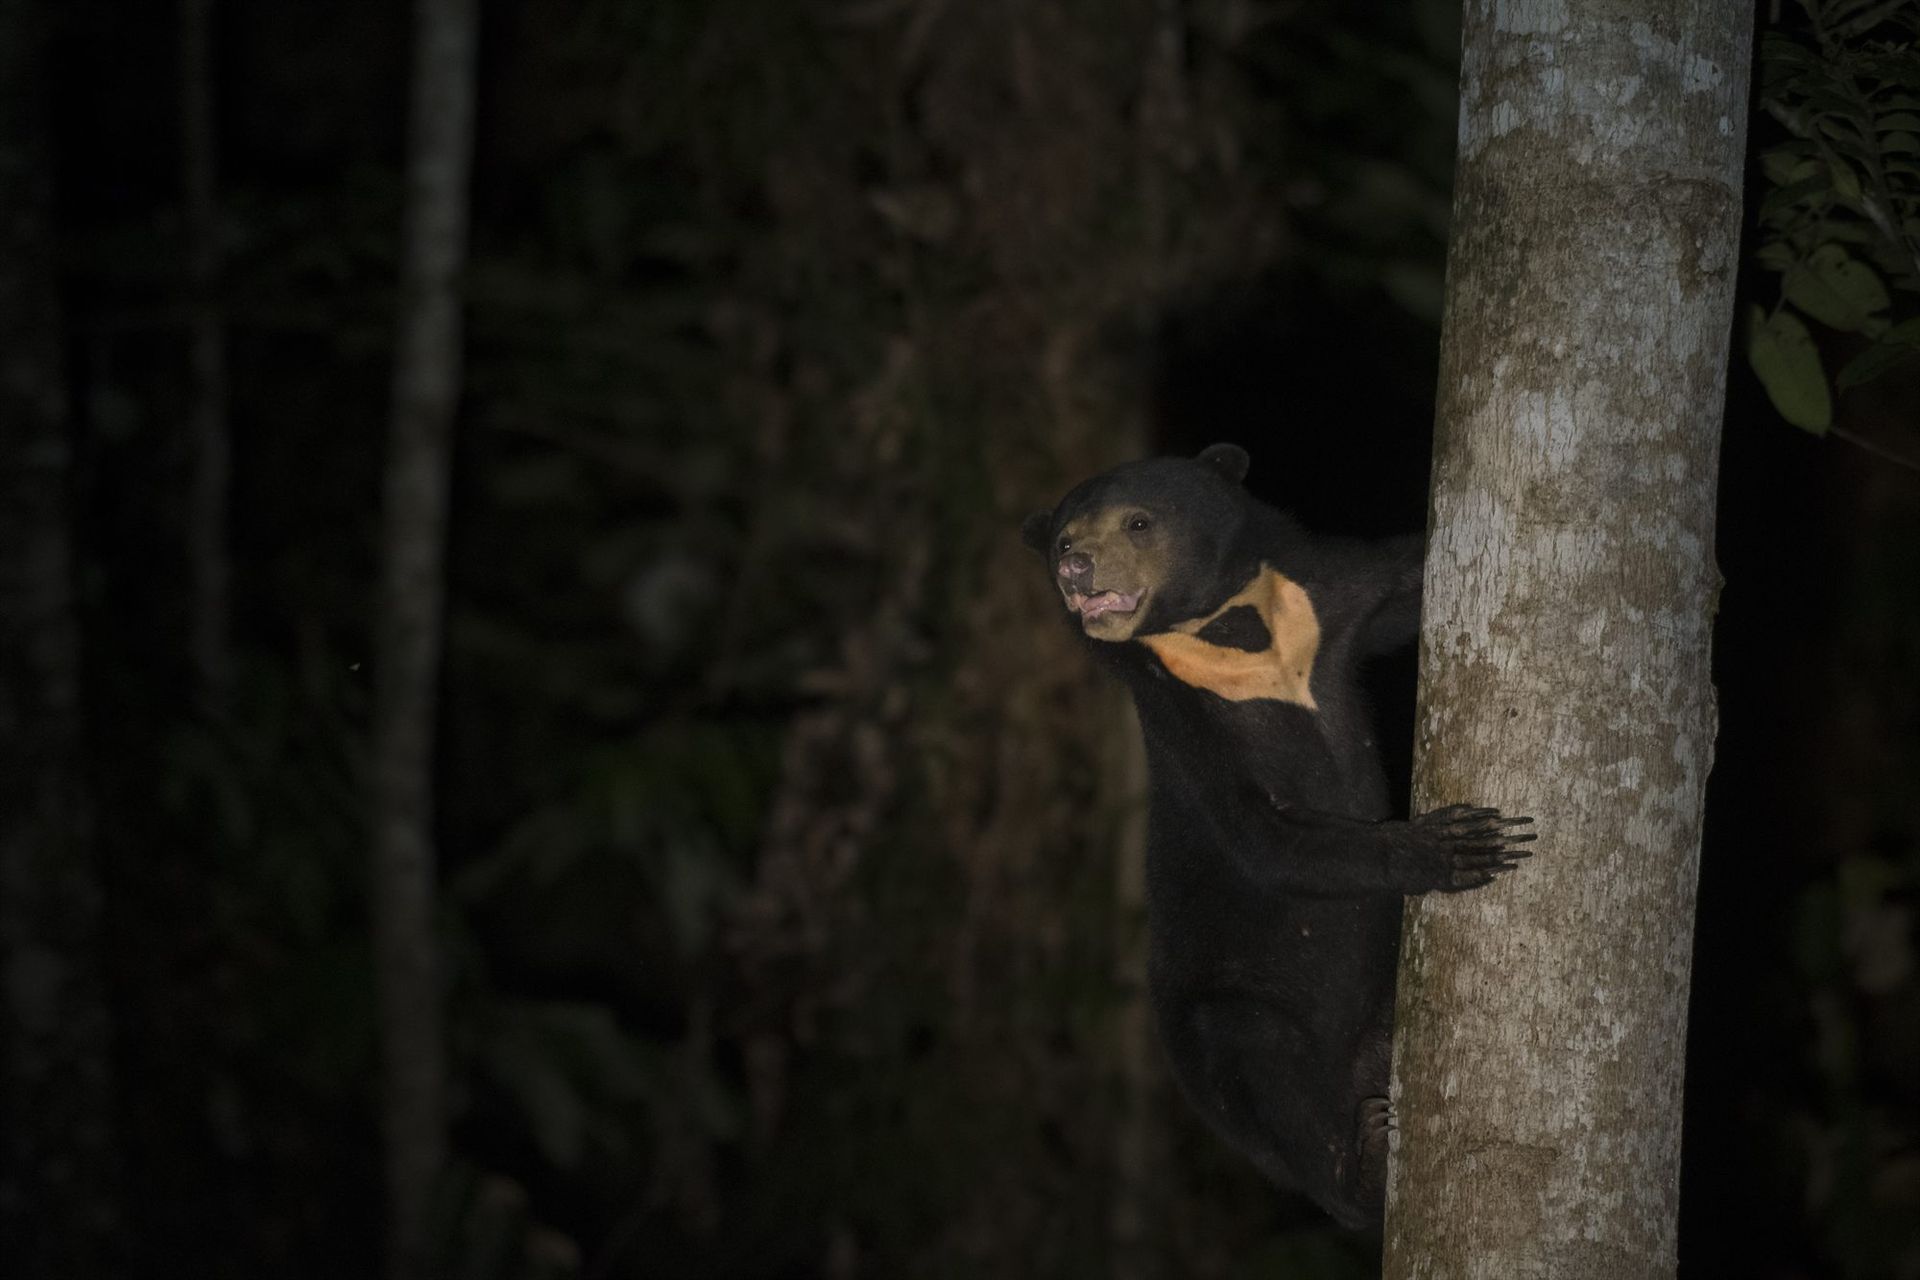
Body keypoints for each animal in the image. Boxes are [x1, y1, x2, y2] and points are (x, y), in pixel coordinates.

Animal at [1022, 442, 1533, 1229]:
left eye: (1137, 523)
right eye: (1061, 541)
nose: (1075, 568)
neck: (1223, 630)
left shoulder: (1326, 606)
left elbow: (1400, 578)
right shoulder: (1182, 716)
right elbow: (1264, 834)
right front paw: (1454, 846)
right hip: (1225, 1041)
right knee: (1263, 1062)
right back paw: (1361, 1173)